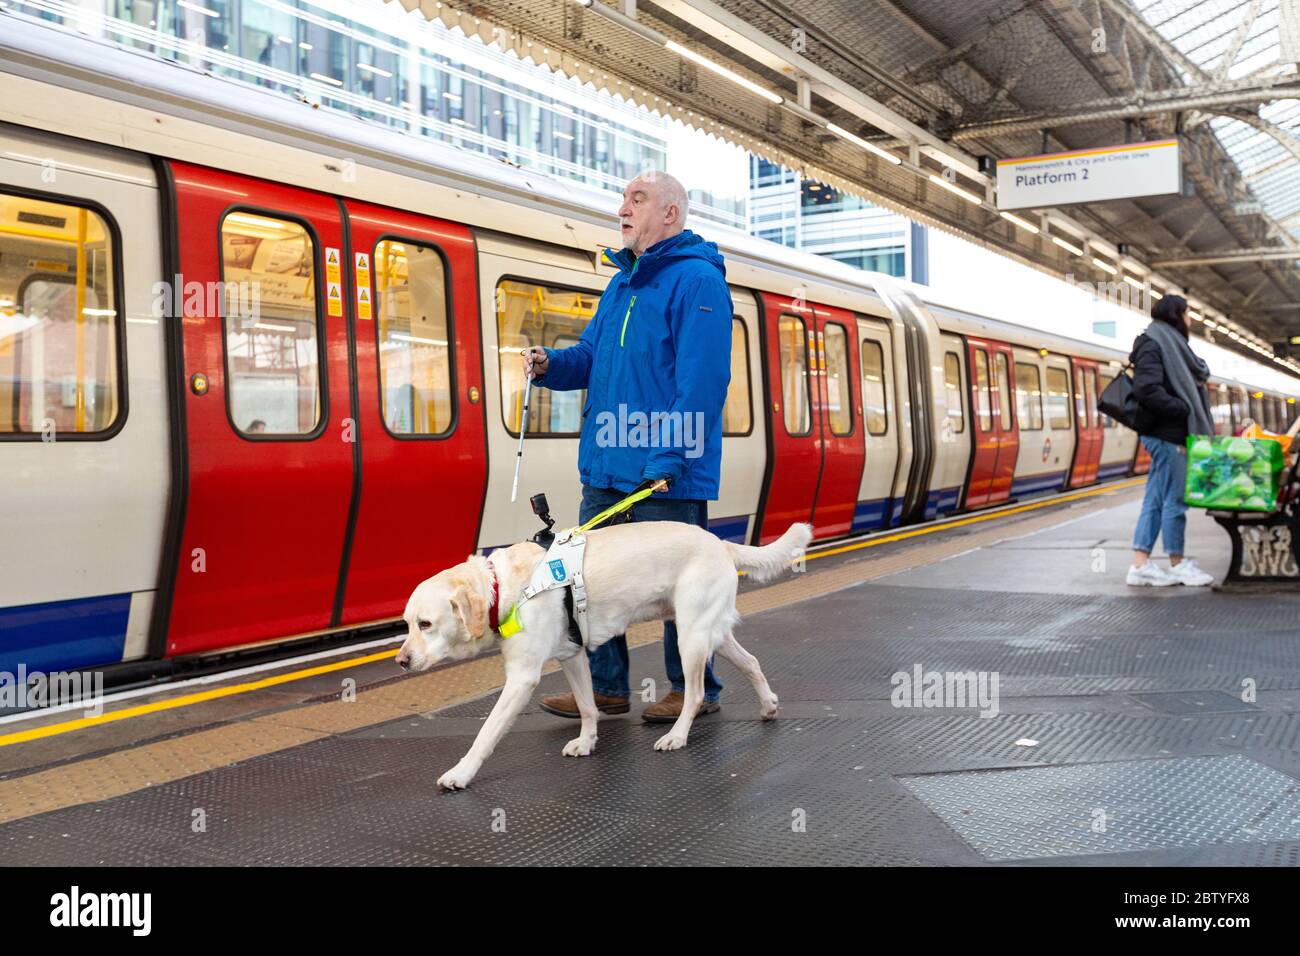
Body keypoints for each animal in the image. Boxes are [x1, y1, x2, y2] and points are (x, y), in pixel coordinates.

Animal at [395, 520, 811, 790]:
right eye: (407, 624)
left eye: (426, 624)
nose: (401, 661)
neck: (504, 588)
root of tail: (720, 542)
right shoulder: (573, 655)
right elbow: (587, 706)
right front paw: (587, 741)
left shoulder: (522, 677)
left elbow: (485, 733)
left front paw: (461, 773)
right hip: (711, 632)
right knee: (751, 662)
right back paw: (768, 706)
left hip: (690, 636)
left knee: (694, 694)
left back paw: (676, 735)